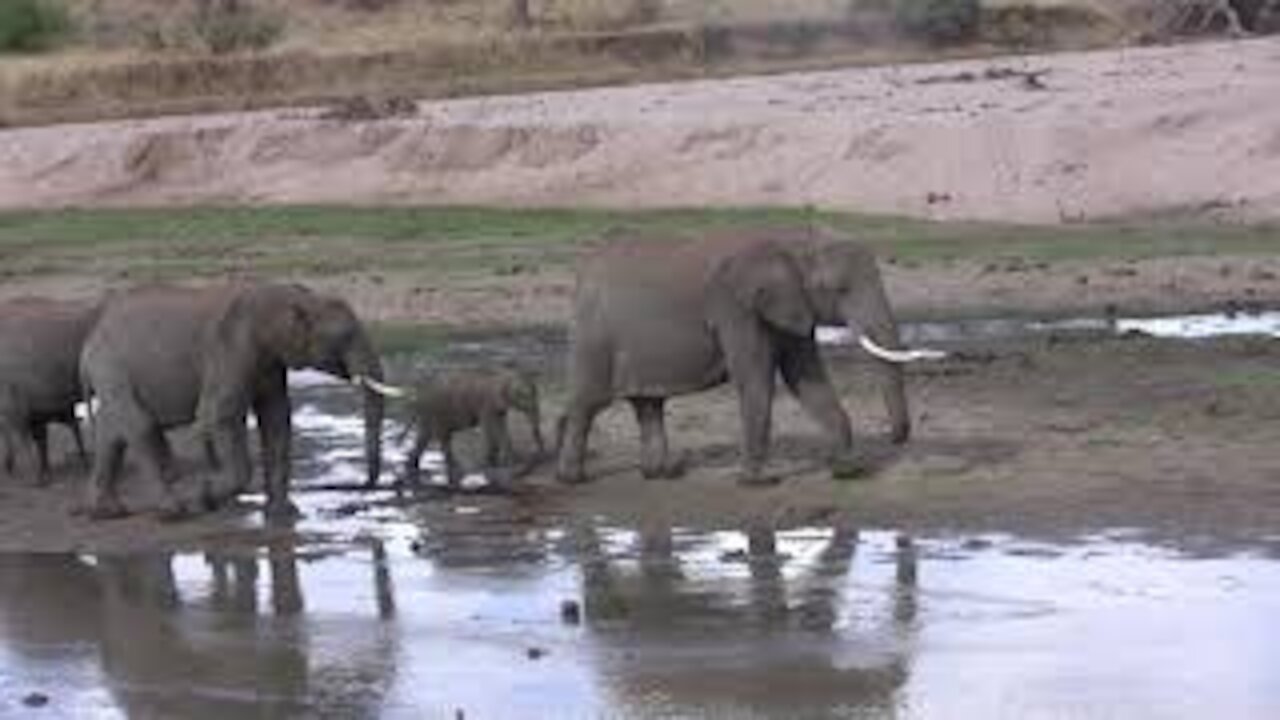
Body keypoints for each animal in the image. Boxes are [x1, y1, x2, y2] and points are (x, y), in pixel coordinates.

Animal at [80, 281, 384, 520]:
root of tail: (91, 340)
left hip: (109, 372)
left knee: (111, 432)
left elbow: (276, 418)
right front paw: (203, 498)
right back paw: (172, 512)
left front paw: (284, 515)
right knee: (140, 426)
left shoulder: (269, 363)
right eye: (345, 337)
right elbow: (221, 415)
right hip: (111, 367)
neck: (287, 296)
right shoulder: (232, 349)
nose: (362, 487)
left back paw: (106, 513)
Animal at [360, 363, 545, 486]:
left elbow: (501, 426)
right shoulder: (486, 403)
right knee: (439, 437)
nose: (537, 458)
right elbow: (491, 427)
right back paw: (455, 470)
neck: (504, 375)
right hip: (435, 410)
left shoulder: (497, 407)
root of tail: (418, 390)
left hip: (430, 412)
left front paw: (510, 461)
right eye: (523, 395)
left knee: (426, 437)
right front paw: (494, 463)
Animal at [555, 228, 947, 486]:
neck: (792, 241)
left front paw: (848, 472)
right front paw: (759, 482)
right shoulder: (737, 309)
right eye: (839, 290)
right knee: (588, 404)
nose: (894, 438)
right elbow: (757, 381)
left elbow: (807, 379)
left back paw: (662, 474)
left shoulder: (790, 307)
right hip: (593, 336)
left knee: (648, 404)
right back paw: (572, 479)